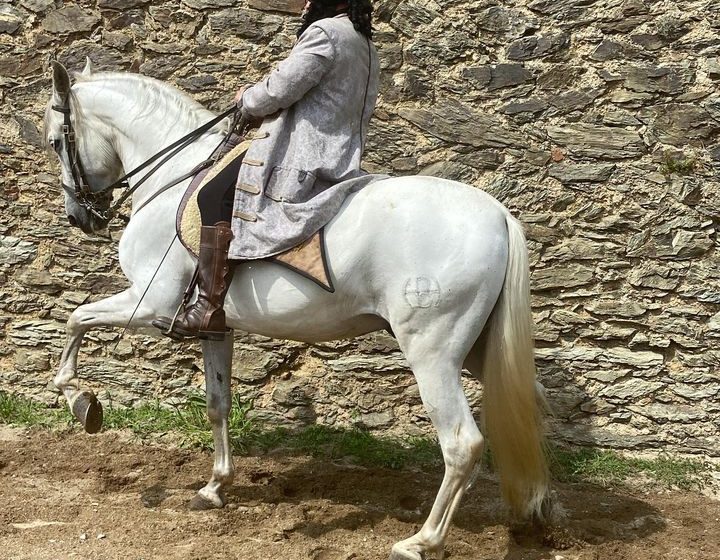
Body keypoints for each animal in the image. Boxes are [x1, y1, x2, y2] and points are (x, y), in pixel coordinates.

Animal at [43, 61, 552, 560]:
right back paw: (537, 509)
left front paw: (82, 402)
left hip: (433, 355)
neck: (176, 181)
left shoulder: (148, 304)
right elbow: (217, 403)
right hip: (479, 349)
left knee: (462, 443)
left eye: (54, 141)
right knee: (531, 405)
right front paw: (214, 487)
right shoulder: (215, 329)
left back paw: (422, 541)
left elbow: (75, 319)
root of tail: (498, 216)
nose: (78, 217)